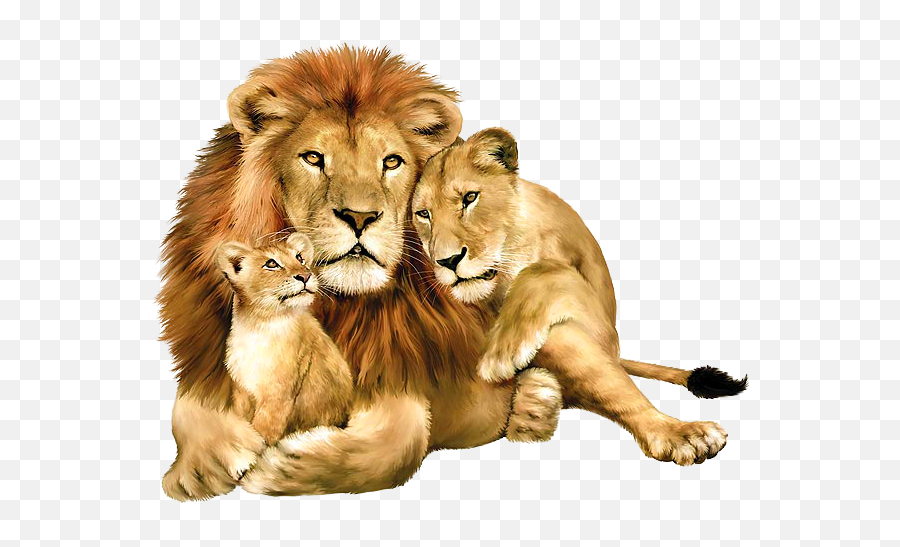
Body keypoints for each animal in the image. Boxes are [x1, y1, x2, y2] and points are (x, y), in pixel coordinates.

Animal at [411, 127, 747, 463]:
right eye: (423, 214)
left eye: (470, 198)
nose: (447, 261)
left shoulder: (600, 322)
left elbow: (544, 270)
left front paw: (501, 354)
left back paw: (682, 434)